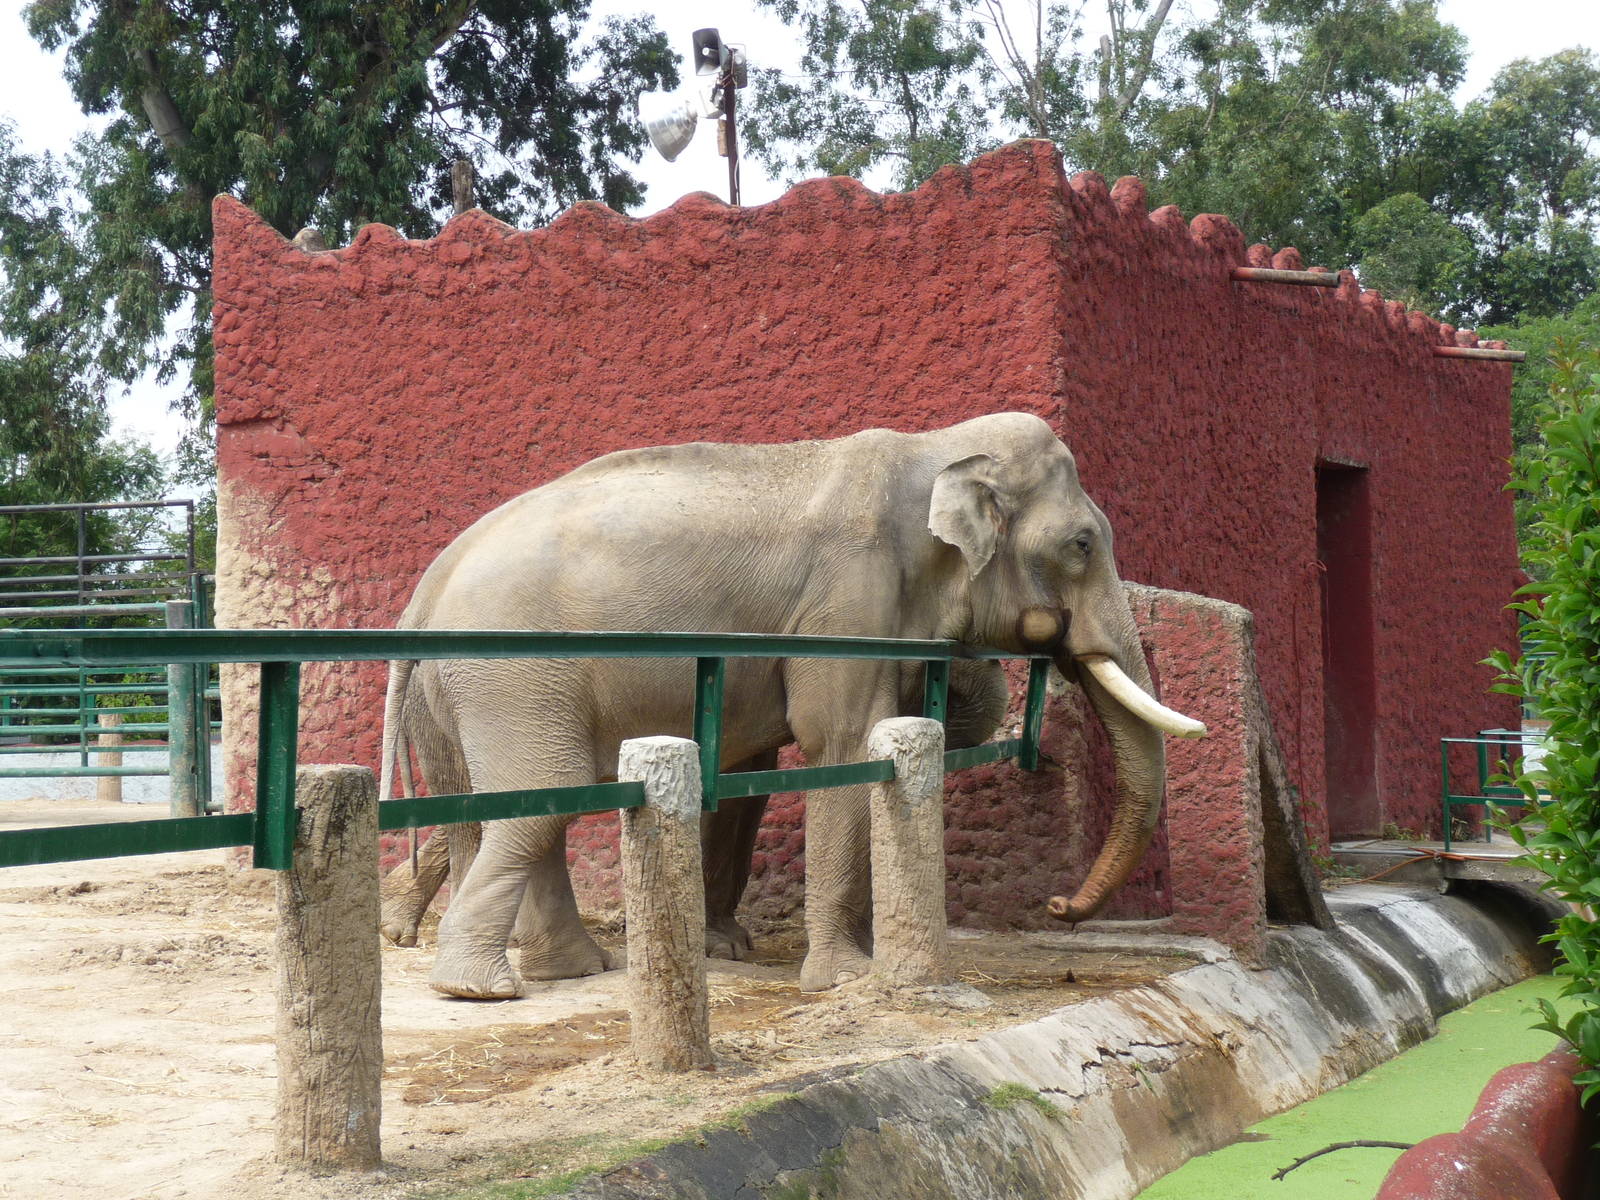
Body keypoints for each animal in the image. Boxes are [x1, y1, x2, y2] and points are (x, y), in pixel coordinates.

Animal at [378, 412, 1204, 999]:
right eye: (1082, 545)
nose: (1060, 907)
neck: (931, 450)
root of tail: (427, 585)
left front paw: (794, 952)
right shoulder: (848, 596)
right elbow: (842, 745)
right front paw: (846, 978)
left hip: (473, 694)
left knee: (526, 803)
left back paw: (573, 969)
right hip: (515, 675)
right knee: (545, 796)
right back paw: (479, 989)